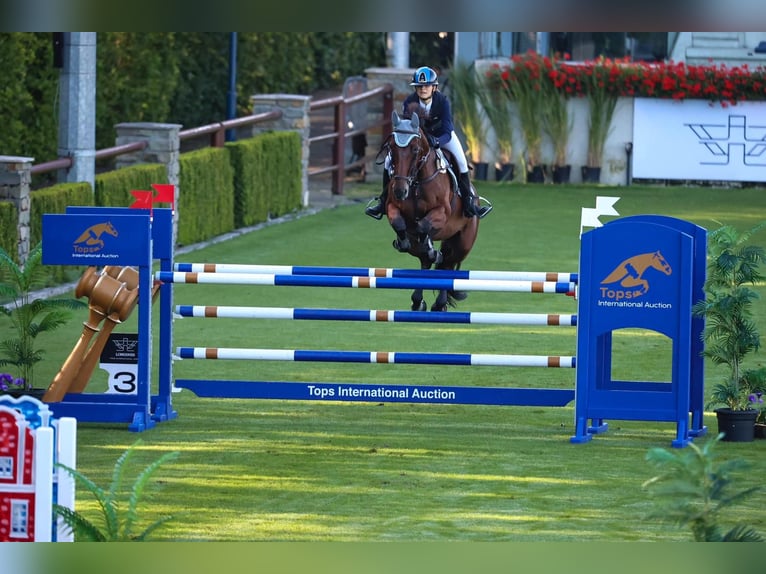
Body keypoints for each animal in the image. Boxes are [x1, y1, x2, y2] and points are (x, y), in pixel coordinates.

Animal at [380, 110, 480, 312]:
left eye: (415, 150)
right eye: (391, 148)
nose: (400, 191)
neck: (417, 182)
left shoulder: (442, 212)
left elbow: (423, 226)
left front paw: (430, 246)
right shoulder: (392, 206)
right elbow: (399, 222)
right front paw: (403, 242)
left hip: (463, 243)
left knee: (447, 266)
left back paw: (439, 302)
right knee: (426, 262)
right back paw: (418, 300)